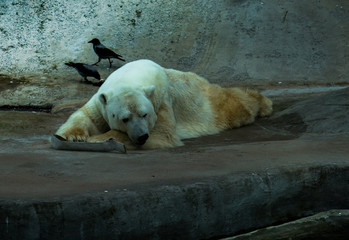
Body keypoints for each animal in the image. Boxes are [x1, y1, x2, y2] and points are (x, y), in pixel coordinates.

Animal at [55, 59, 272, 149]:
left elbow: (162, 133)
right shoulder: (102, 100)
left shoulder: (161, 100)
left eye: (145, 114)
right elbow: (86, 116)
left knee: (234, 104)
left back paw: (264, 103)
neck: (130, 77)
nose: (142, 136)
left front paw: (100, 139)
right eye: (124, 118)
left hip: (205, 101)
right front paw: (73, 136)